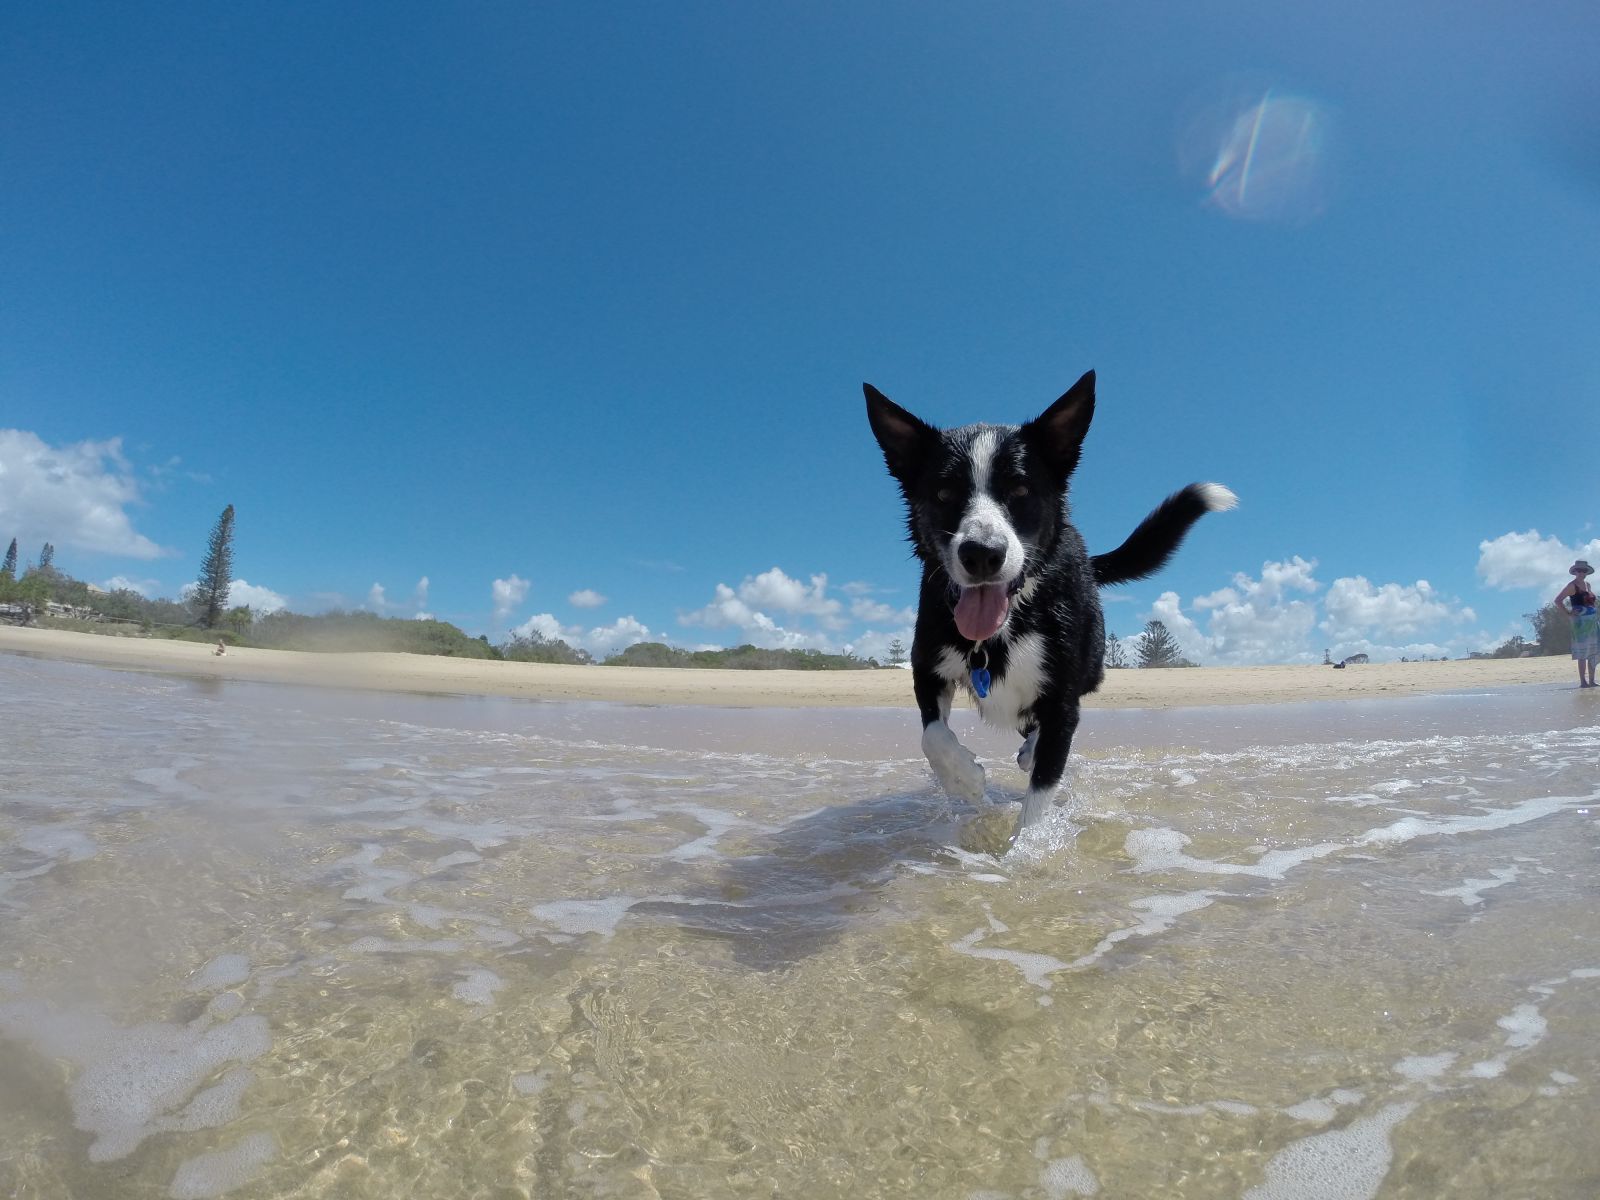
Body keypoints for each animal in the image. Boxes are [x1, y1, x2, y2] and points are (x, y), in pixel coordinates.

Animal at [870, 371, 1228, 838]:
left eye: (1021, 489)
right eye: (945, 493)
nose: (982, 554)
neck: (1001, 630)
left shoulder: (1060, 699)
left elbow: (1040, 796)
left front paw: (1026, 849)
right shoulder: (927, 668)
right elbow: (932, 735)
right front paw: (965, 781)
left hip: (1090, 661)